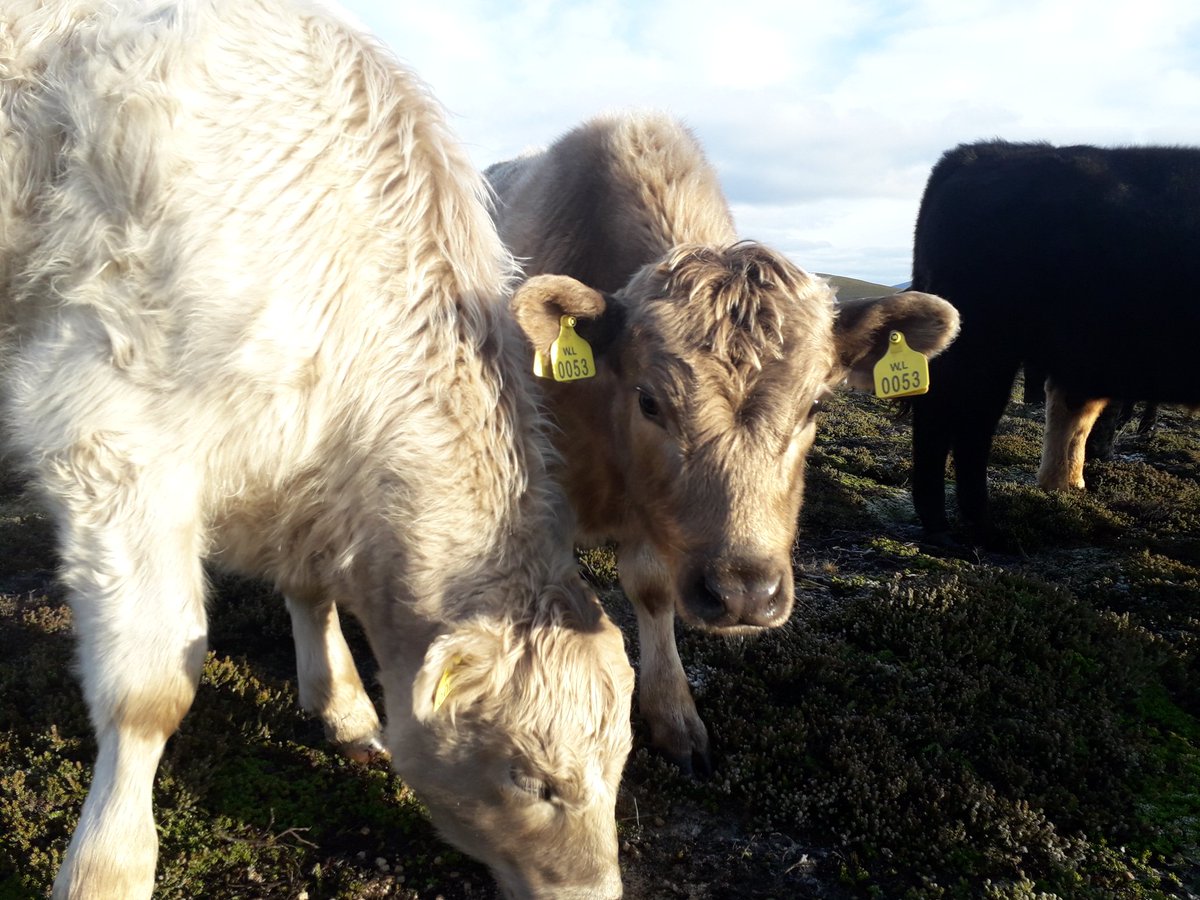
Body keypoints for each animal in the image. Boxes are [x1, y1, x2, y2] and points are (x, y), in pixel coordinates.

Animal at [0, 2, 635, 898]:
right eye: (531, 779)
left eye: (617, 766)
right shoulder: (111, 440)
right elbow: (149, 691)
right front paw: (108, 865)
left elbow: (310, 588)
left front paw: (340, 702)